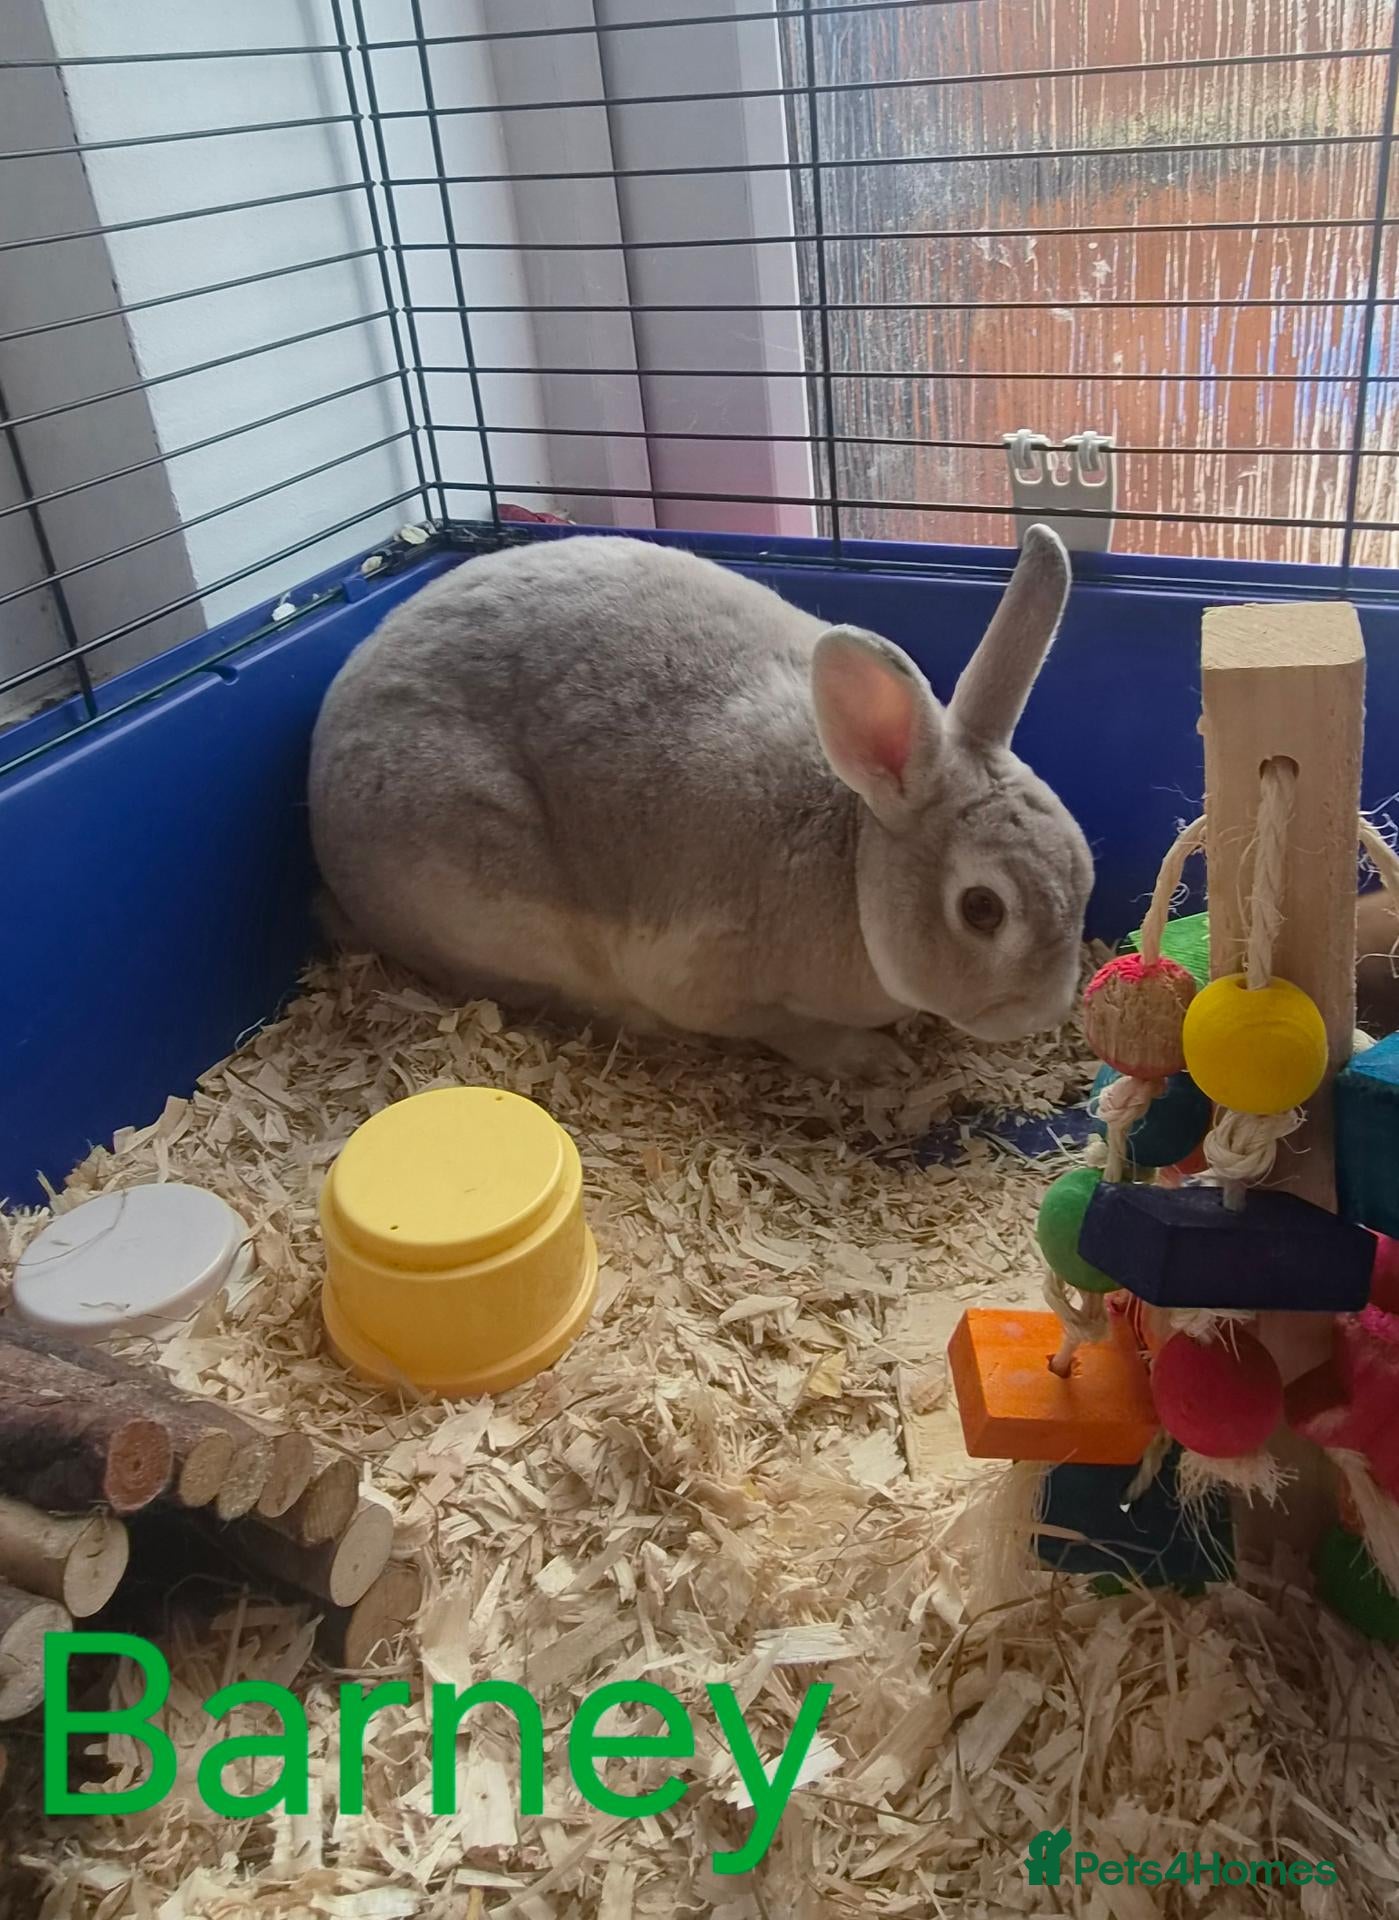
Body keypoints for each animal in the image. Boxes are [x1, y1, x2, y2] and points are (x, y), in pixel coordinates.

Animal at [307, 524, 1094, 1078]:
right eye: (982, 909)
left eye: (1085, 872)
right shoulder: (711, 983)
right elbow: (783, 1029)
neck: (852, 863)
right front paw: (871, 1060)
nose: (1045, 1011)